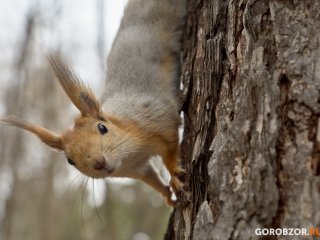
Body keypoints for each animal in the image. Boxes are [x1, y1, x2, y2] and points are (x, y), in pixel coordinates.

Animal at [0, 0, 185, 206]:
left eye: (102, 127)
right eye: (69, 160)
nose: (98, 163)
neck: (131, 153)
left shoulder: (158, 119)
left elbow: (170, 149)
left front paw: (175, 175)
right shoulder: (136, 168)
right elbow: (151, 178)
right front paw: (167, 195)